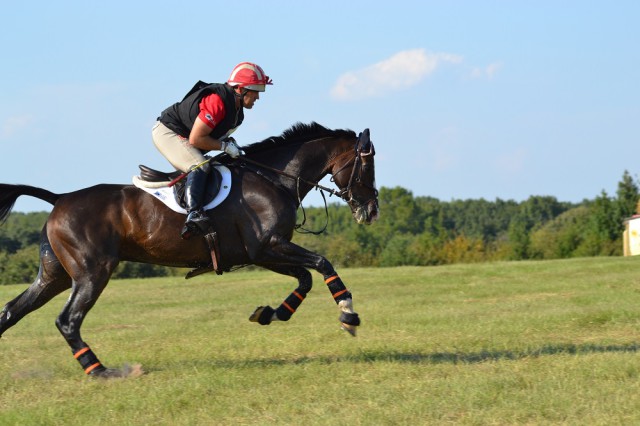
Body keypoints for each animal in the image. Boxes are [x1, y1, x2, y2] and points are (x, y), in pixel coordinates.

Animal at [0, 121, 378, 378]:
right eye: (367, 165)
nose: (371, 210)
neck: (273, 177)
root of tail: (60, 198)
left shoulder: (262, 253)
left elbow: (305, 279)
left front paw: (270, 313)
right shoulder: (268, 247)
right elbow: (322, 264)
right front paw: (348, 315)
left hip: (56, 275)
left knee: (12, 311)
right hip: (91, 273)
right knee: (68, 320)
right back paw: (104, 372)